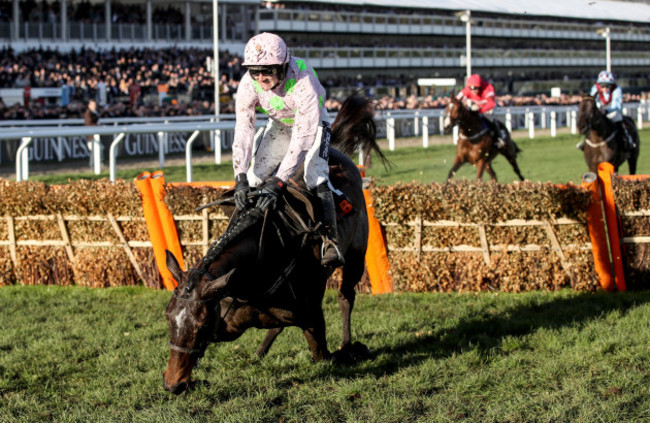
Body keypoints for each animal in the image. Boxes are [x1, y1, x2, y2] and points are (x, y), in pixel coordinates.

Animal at [162, 95, 384, 394]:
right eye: (168, 316)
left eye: (201, 325)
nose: (173, 384)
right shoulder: (229, 318)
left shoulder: (312, 318)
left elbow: (325, 355)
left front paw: (354, 351)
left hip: (357, 255)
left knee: (345, 296)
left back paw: (347, 342)